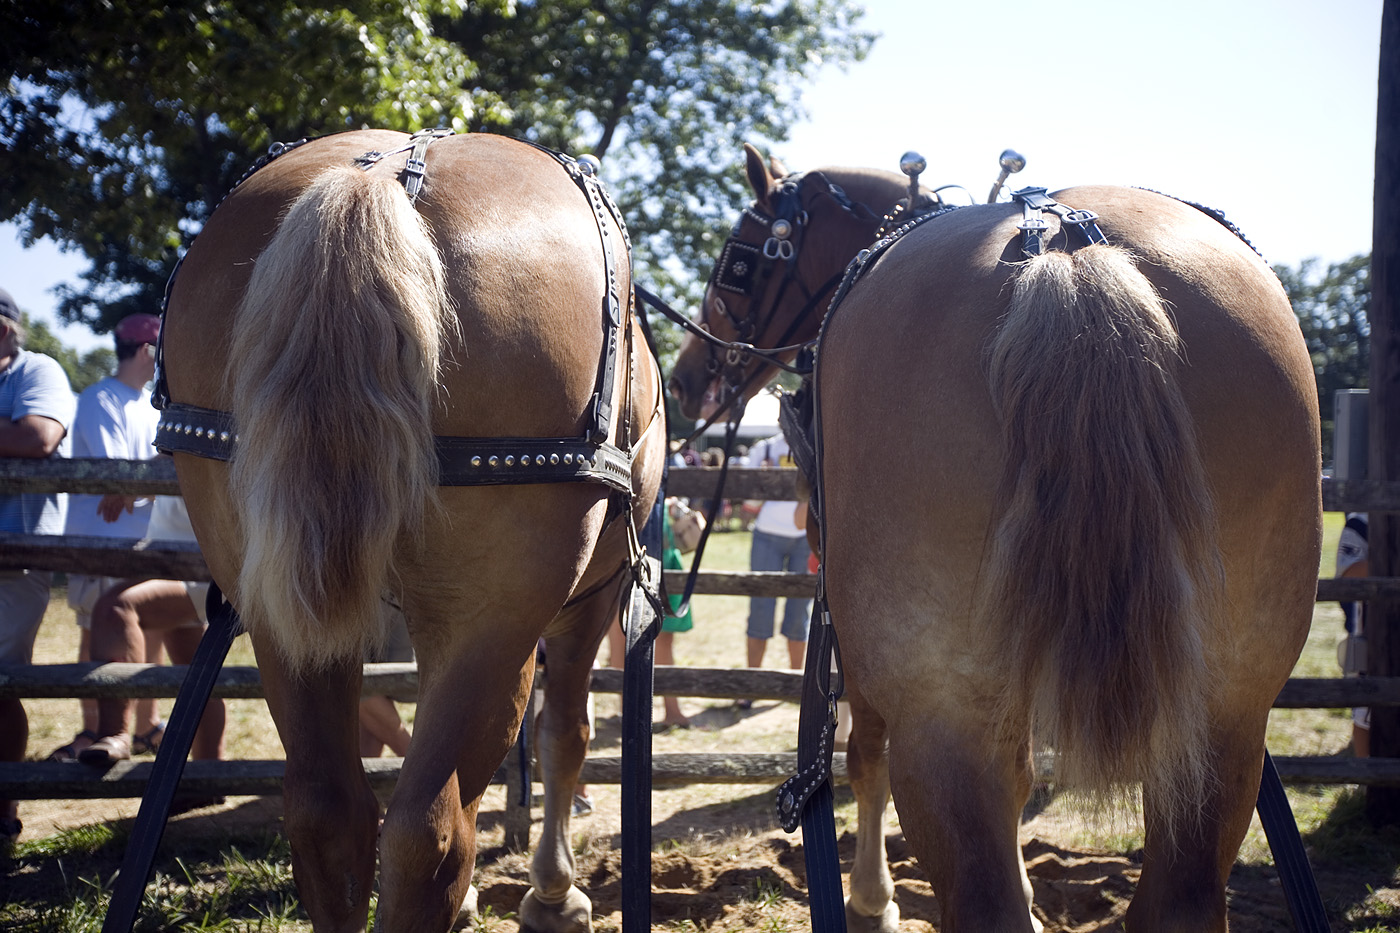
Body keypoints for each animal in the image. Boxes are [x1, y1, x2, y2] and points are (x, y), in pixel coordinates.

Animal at [159, 130, 665, 933]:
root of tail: (385, 174)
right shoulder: (590, 599)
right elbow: (565, 734)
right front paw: (554, 895)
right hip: (493, 616)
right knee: (431, 829)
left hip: (278, 606)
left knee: (330, 815)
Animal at [670, 144, 1321, 932]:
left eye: (738, 259)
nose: (684, 380)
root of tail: (1062, 245)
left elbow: (863, 752)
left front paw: (872, 902)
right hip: (1224, 712)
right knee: (1179, 896)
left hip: (943, 711)